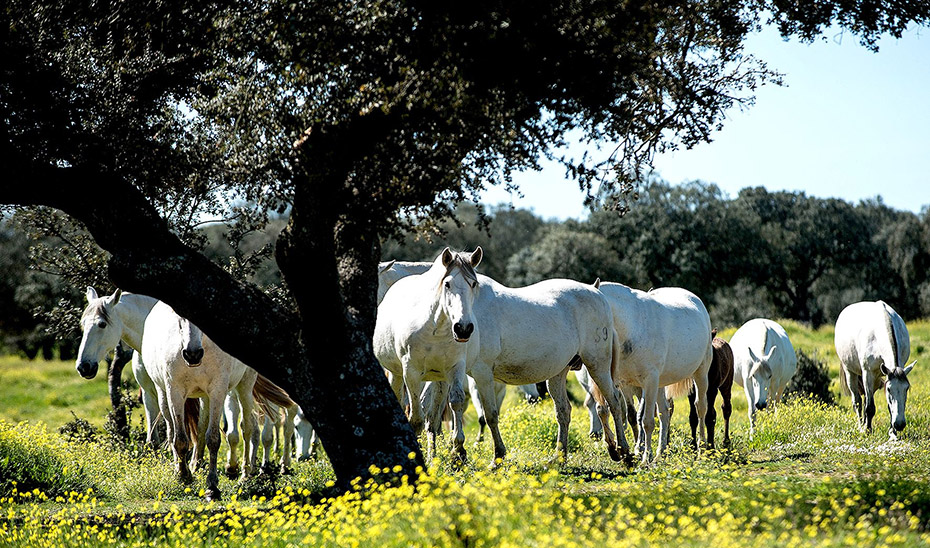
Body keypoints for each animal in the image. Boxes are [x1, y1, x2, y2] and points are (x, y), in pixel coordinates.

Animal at [374, 248, 482, 462]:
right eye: (447, 283)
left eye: (473, 283)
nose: (463, 328)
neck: (437, 328)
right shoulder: (411, 373)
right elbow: (415, 418)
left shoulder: (456, 368)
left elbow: (455, 402)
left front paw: (458, 450)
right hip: (397, 374)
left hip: (439, 379)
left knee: (433, 419)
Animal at [596, 280, 712, 464]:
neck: (632, 325)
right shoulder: (620, 382)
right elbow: (617, 410)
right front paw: (619, 449)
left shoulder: (649, 381)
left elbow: (647, 421)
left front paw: (644, 458)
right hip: (661, 382)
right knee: (664, 412)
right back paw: (660, 453)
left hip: (700, 372)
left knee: (700, 407)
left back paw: (702, 450)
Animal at [832, 302, 912, 438]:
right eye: (889, 389)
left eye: (906, 388)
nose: (900, 424)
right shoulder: (867, 374)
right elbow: (869, 407)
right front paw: (868, 431)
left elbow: (888, 406)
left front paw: (892, 433)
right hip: (851, 373)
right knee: (857, 402)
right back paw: (861, 426)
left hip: (875, 379)